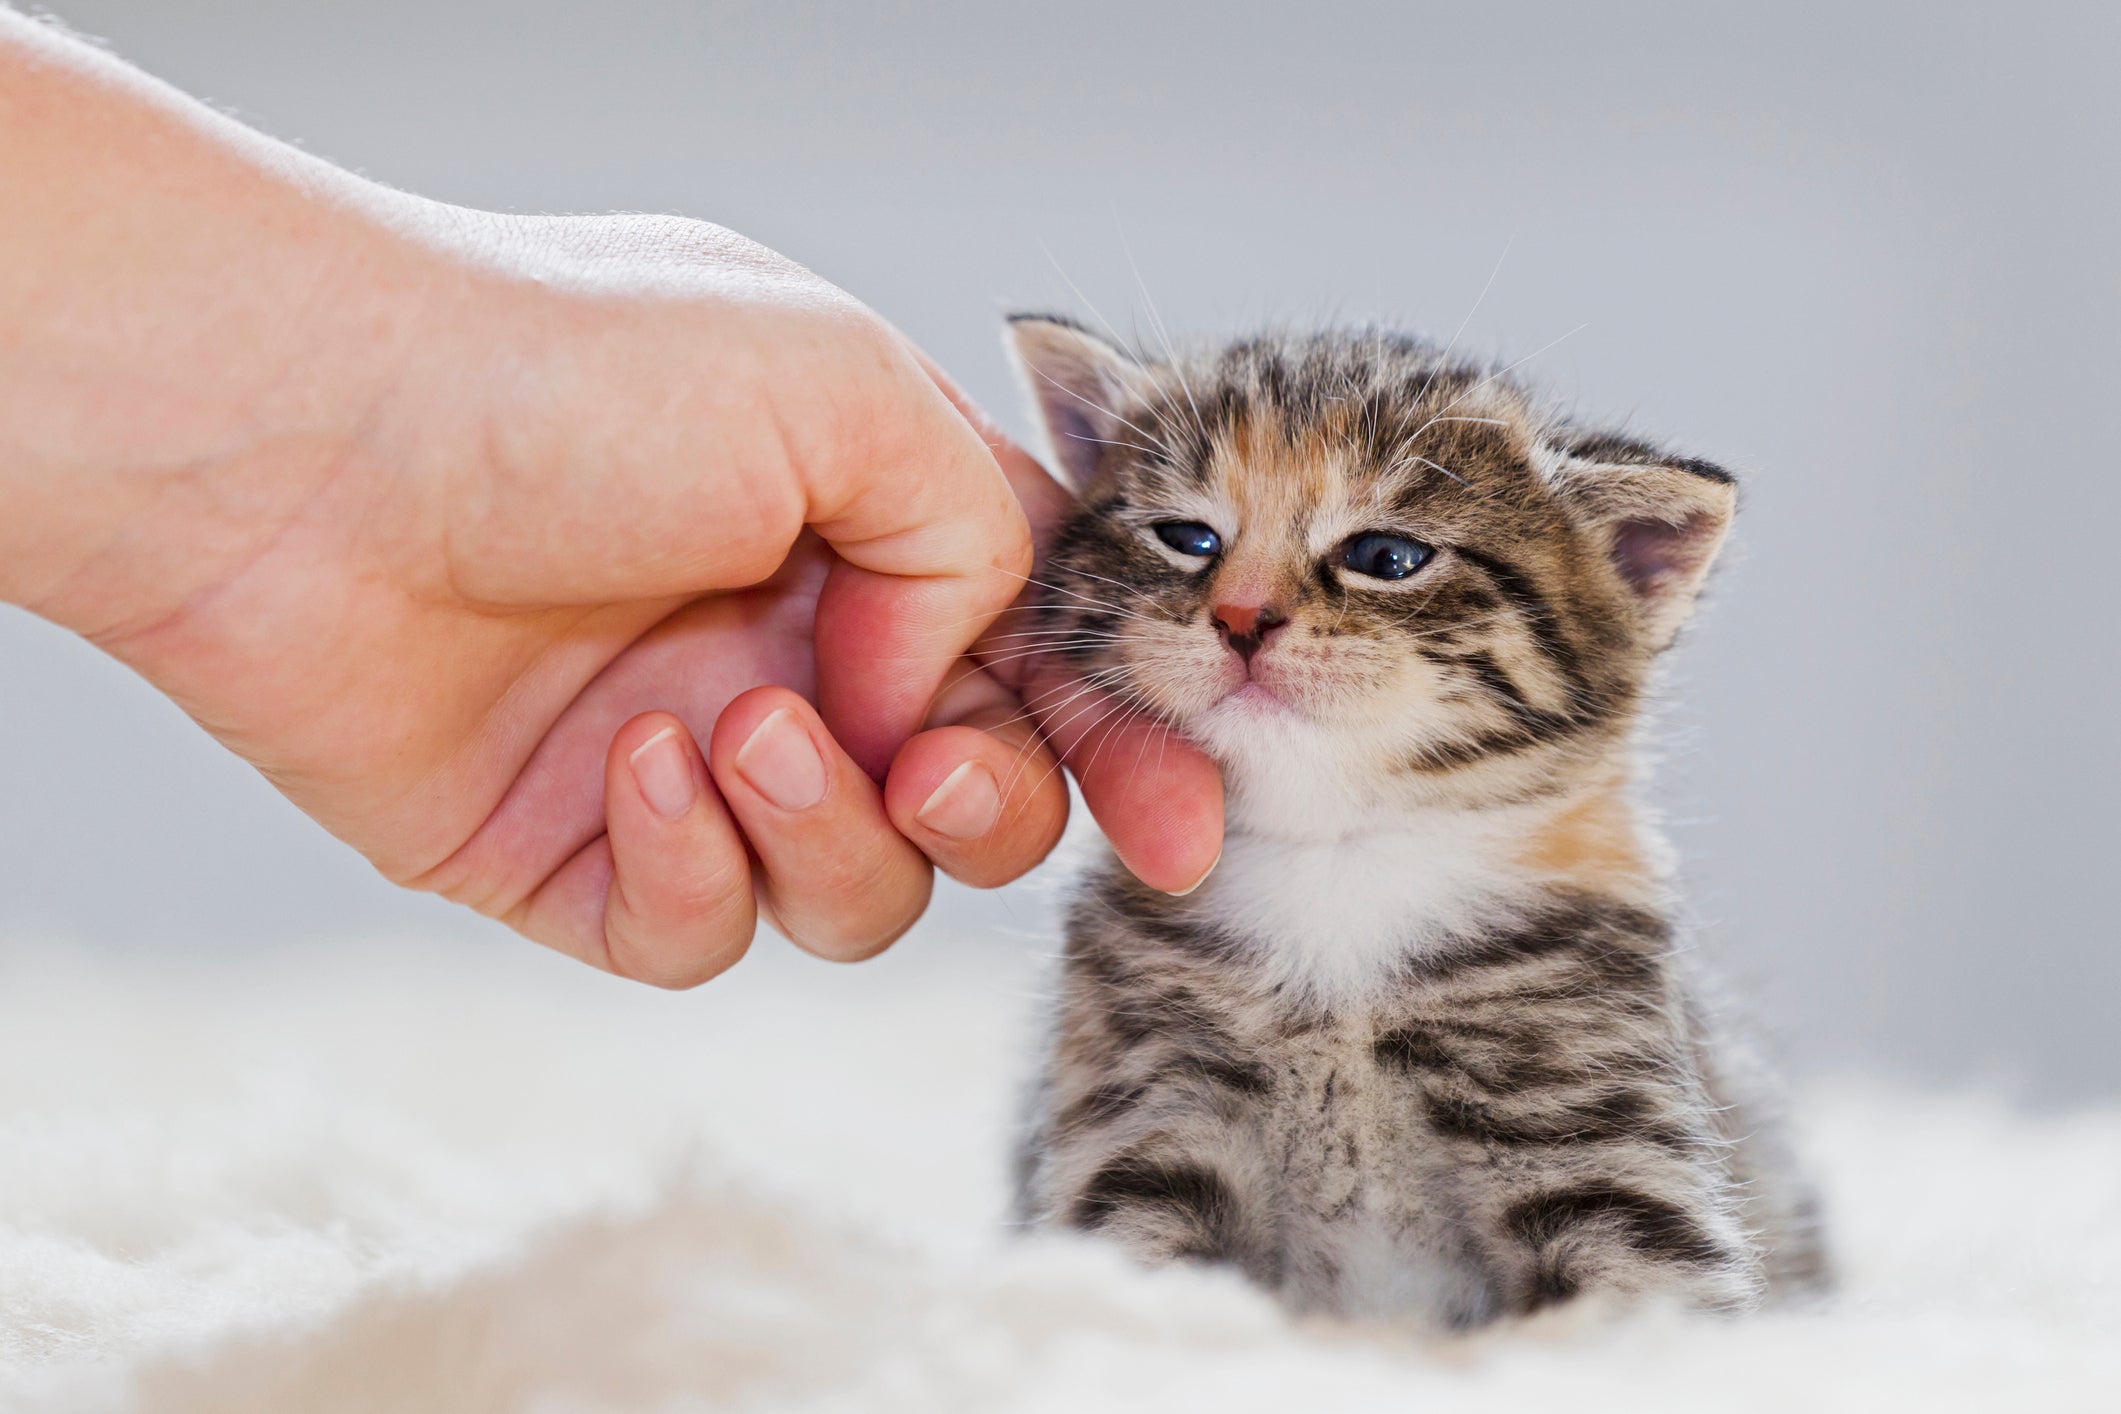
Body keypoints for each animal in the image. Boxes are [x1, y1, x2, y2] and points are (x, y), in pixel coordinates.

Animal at [1005, 311, 1824, 1331]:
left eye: (1385, 559)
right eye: (1186, 537)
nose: (1240, 616)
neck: (1335, 864)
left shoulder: (1605, 1144)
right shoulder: (1145, 1118)